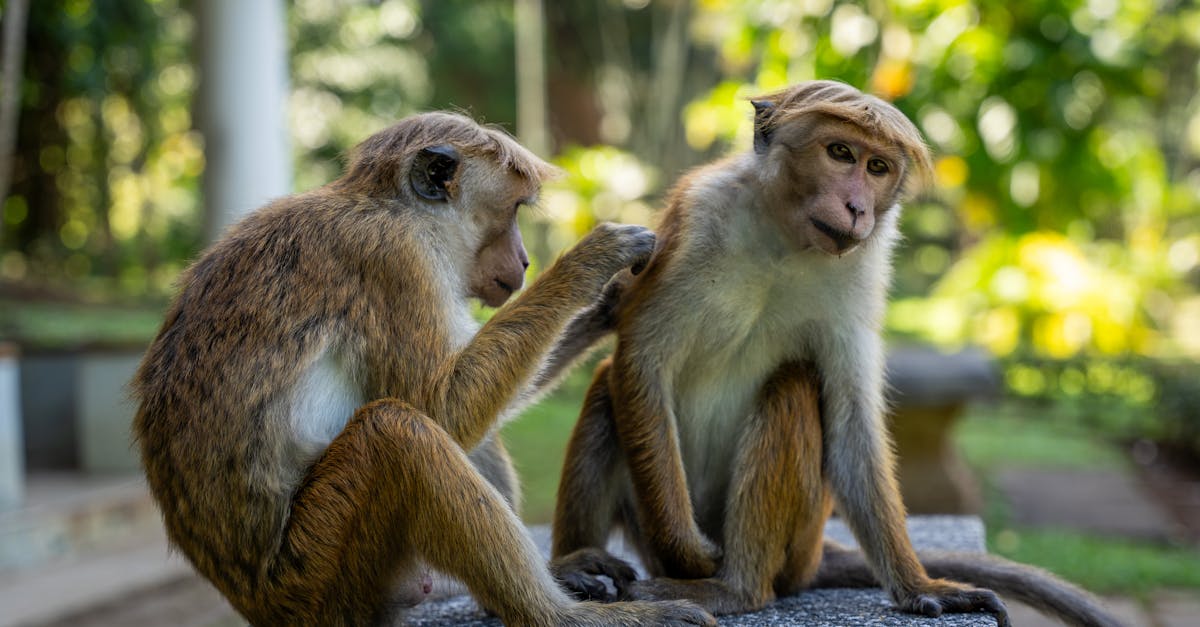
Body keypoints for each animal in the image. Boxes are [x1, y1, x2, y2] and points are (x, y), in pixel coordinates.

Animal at [130, 111, 710, 624]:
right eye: (513, 210)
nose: (525, 261)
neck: (393, 209)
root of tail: (259, 604)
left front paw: (610, 301)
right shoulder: (395, 260)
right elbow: (439, 404)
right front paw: (590, 262)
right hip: (319, 573)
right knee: (397, 431)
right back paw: (557, 615)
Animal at [549, 82, 1123, 624]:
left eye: (877, 167)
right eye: (841, 153)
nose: (856, 207)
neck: (784, 237)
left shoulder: (867, 265)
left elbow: (851, 420)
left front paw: (920, 587)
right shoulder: (694, 218)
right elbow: (642, 362)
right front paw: (685, 548)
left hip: (798, 546)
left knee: (792, 388)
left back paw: (737, 589)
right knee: (606, 389)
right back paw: (578, 568)